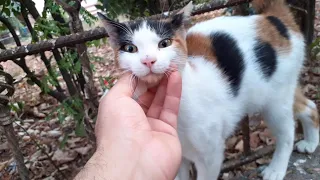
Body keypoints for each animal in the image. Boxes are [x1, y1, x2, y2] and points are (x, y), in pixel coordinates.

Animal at [98, 0, 320, 179]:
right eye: (130, 49)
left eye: (164, 43)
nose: (148, 60)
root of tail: (272, 18)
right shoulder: (177, 156)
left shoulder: (210, 156)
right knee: (309, 106)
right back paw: (310, 142)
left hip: (274, 101)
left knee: (287, 132)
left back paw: (276, 169)